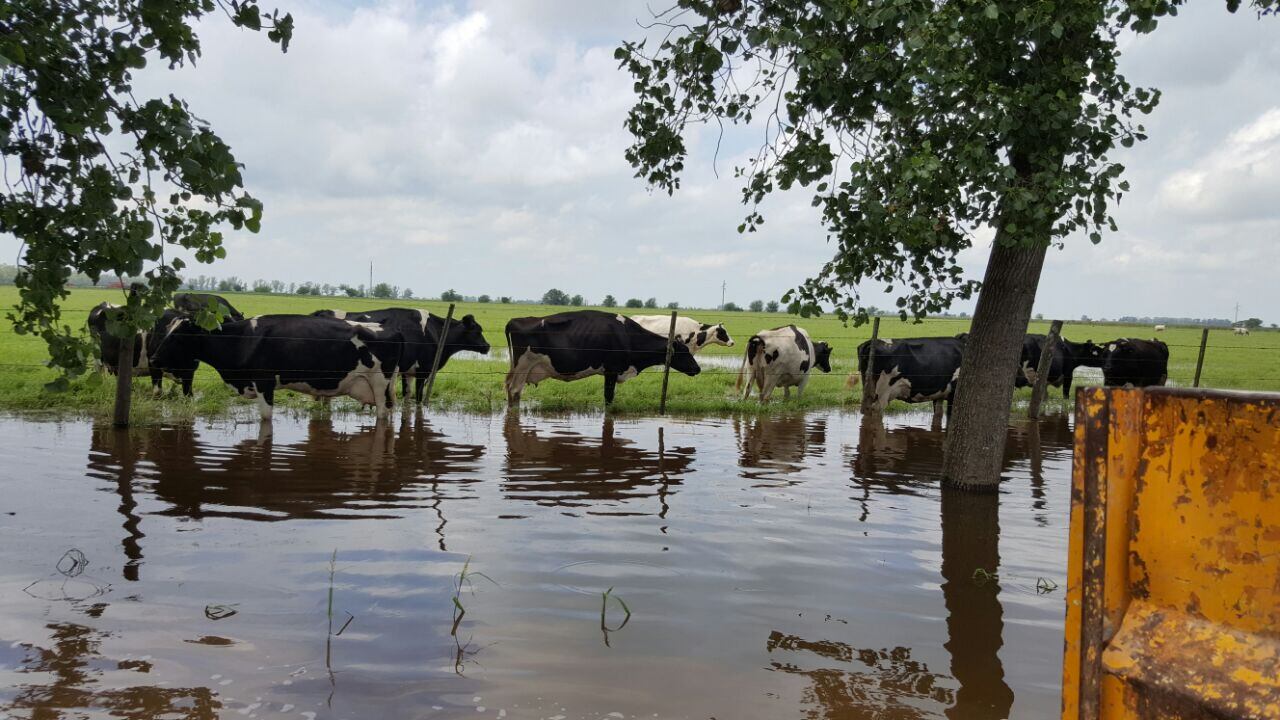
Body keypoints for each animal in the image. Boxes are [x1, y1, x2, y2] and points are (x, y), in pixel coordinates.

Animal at [149, 311, 401, 417]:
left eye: (177, 336)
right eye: (167, 330)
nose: (153, 359)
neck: (242, 340)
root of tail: (390, 328)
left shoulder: (264, 382)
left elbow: (266, 419)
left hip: (379, 383)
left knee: (382, 416)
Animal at [309, 304, 488, 399]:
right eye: (477, 331)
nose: (487, 346)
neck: (435, 332)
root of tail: (321, 311)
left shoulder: (408, 371)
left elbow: (407, 397)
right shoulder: (423, 371)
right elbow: (418, 399)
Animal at [501, 310, 701, 404]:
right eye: (684, 352)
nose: (697, 368)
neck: (627, 336)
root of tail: (514, 320)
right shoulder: (612, 370)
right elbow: (608, 398)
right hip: (522, 367)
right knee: (515, 392)